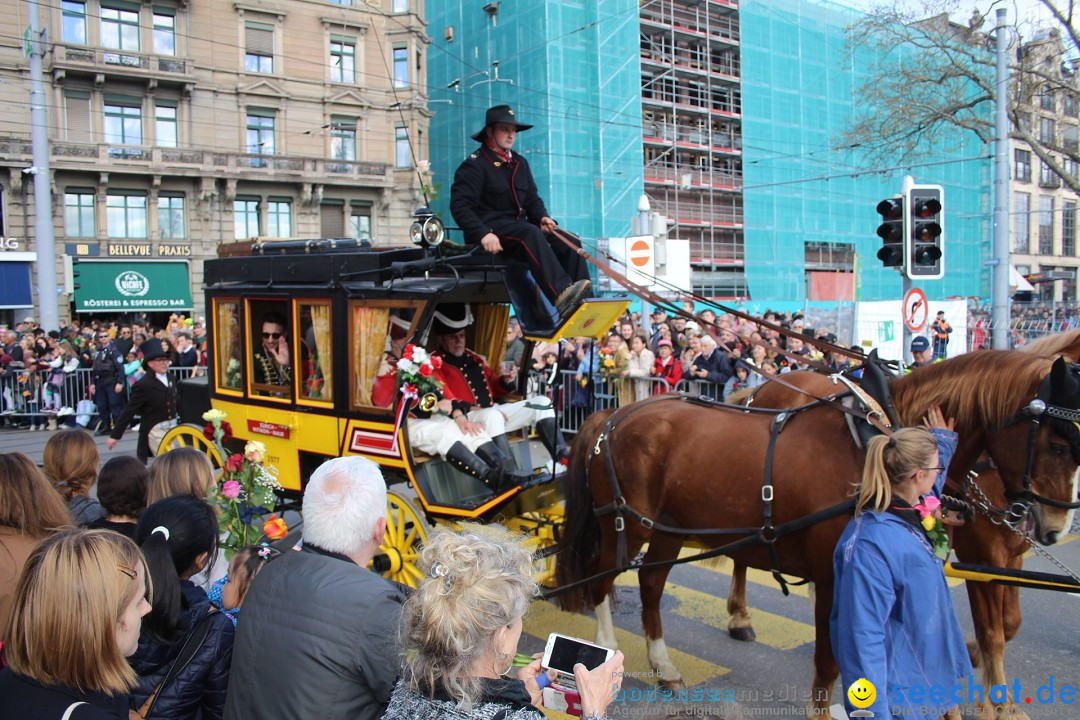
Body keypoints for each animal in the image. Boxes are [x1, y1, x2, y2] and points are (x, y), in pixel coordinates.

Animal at [552, 345, 1080, 716]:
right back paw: (605, 655)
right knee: (601, 579)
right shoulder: (834, 575)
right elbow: (829, 659)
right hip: (624, 524)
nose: (1054, 529)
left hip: (668, 529)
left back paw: (664, 666)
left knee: (651, 584)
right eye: (1057, 443)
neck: (876, 444)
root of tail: (613, 415)